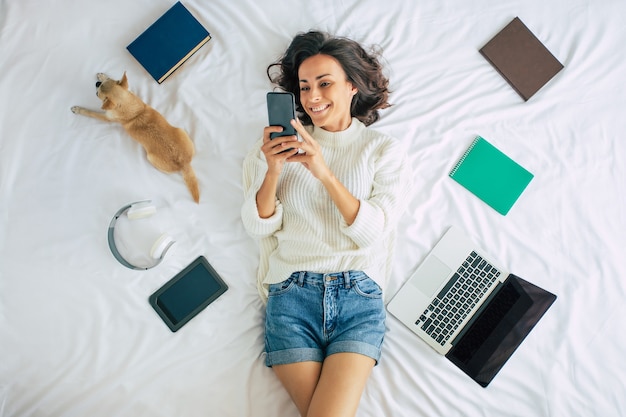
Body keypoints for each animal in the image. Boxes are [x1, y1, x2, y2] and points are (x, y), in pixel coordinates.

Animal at [73, 73, 200, 203]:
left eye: (97, 94)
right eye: (109, 80)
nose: (97, 83)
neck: (129, 107)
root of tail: (184, 163)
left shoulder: (106, 117)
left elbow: (91, 113)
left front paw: (79, 109)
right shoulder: (129, 91)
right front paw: (102, 75)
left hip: (151, 158)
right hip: (181, 131)